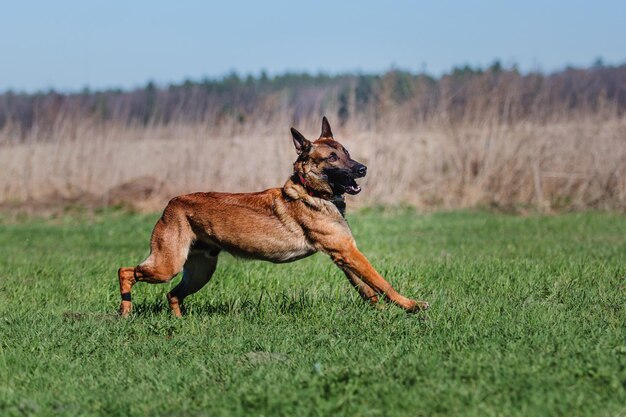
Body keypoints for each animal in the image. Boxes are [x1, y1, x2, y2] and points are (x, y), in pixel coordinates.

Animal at [116, 117, 428, 316]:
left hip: (200, 271)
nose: (362, 168)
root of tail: (172, 202)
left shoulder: (342, 255)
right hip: (167, 265)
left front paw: (381, 312)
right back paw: (125, 311)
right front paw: (411, 306)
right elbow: (382, 282)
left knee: (172, 294)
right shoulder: (348, 251)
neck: (311, 191)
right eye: (331, 158)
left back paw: (179, 324)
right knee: (125, 271)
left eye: (346, 152)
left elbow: (367, 288)